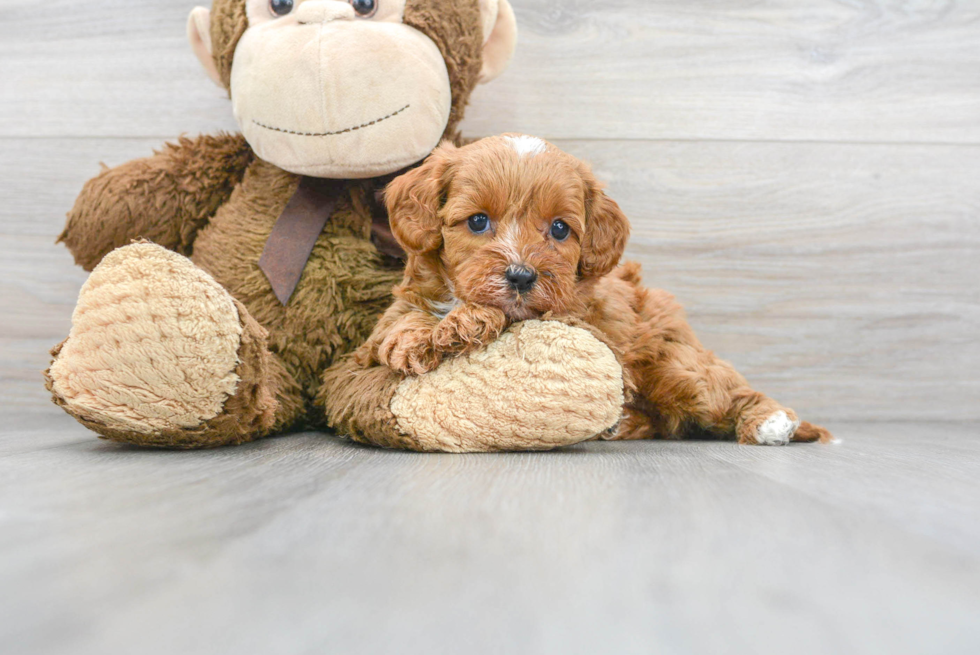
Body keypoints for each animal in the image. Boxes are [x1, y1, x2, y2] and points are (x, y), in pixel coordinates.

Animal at [356, 136, 832, 448]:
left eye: (559, 229)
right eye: (477, 221)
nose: (521, 276)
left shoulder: (567, 314)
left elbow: (499, 314)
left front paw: (463, 322)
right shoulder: (397, 310)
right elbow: (395, 324)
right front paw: (420, 335)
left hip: (677, 368)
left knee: (722, 391)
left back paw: (773, 423)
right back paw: (624, 423)